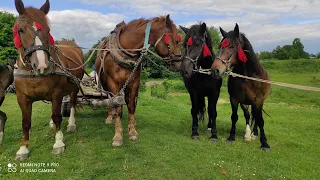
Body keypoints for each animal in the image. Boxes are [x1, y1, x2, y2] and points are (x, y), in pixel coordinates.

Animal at [13, 0, 84, 160]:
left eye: (48, 30)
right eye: (20, 30)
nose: (42, 65)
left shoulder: (57, 93)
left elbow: (57, 116)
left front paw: (58, 143)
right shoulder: (22, 98)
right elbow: (25, 122)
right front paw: (23, 149)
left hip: (75, 87)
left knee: (71, 103)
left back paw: (71, 123)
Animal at [95, 14, 181, 146]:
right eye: (175, 40)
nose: (179, 63)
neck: (124, 53)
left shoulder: (134, 82)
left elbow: (131, 105)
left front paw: (132, 131)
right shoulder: (113, 82)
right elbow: (116, 105)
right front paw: (118, 135)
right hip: (104, 83)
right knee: (109, 99)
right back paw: (110, 116)